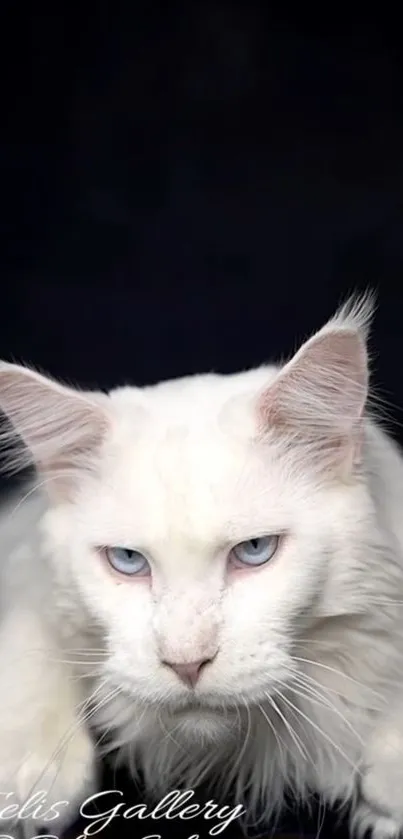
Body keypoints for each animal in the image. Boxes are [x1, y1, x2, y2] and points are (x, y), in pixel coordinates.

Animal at [0, 298, 403, 836]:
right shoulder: (22, 546)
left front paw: (387, 785)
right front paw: (31, 773)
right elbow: (30, 630)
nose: (186, 664)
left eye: (254, 549)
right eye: (128, 561)